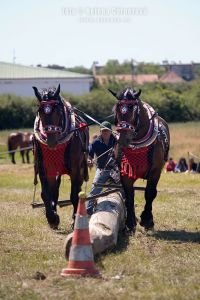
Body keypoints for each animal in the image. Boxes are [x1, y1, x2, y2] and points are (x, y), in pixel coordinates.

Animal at [32, 83, 89, 229]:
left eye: (57, 111)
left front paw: (75, 220)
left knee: (77, 188)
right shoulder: (44, 168)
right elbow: (46, 193)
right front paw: (52, 218)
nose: (51, 141)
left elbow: (74, 194)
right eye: (40, 111)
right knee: (54, 190)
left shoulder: (75, 169)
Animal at [109, 86, 170, 232]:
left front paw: (147, 220)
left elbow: (150, 193)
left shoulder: (155, 171)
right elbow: (129, 195)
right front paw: (130, 223)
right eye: (117, 109)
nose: (123, 140)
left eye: (132, 109)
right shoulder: (125, 172)